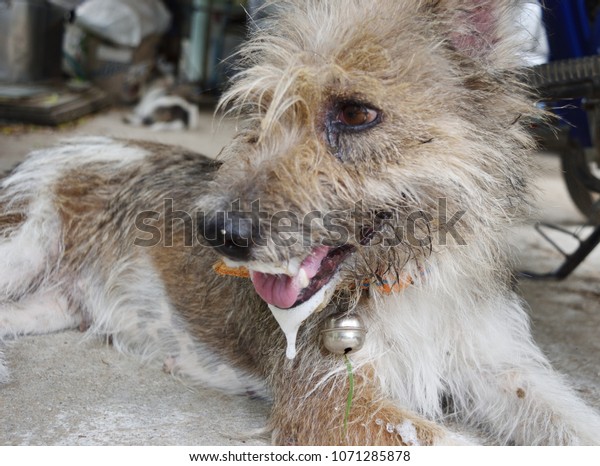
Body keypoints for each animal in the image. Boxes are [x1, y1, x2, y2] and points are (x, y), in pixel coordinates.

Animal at [1, 0, 600, 444]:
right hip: (22, 247)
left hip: (48, 305)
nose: (216, 232)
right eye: (262, 109)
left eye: (356, 113)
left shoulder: (503, 368)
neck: (409, 277)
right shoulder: (332, 397)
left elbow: (575, 424)